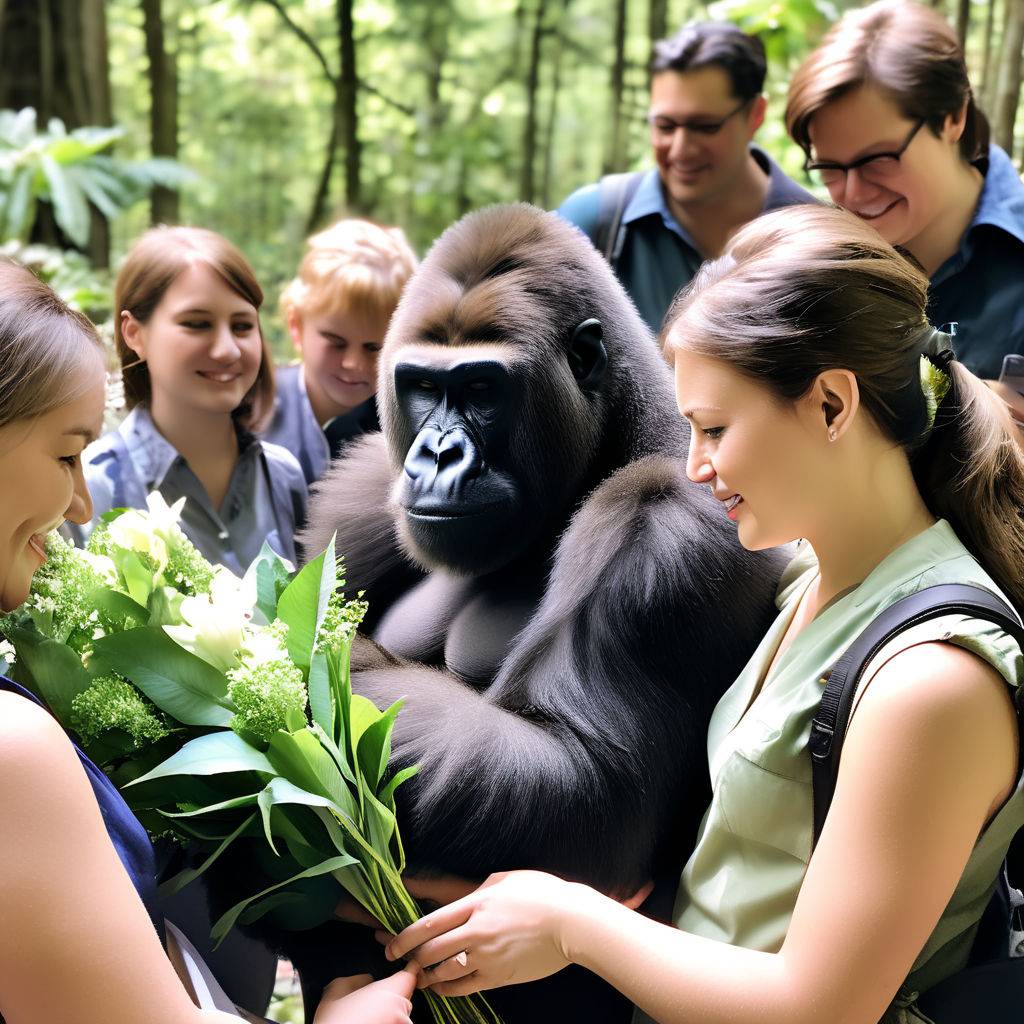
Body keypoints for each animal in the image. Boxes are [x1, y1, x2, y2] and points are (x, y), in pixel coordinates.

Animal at [292, 203, 786, 1019]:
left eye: (482, 388)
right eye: (421, 385)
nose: (437, 455)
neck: (620, 437)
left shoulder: (669, 527)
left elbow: (583, 780)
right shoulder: (361, 488)